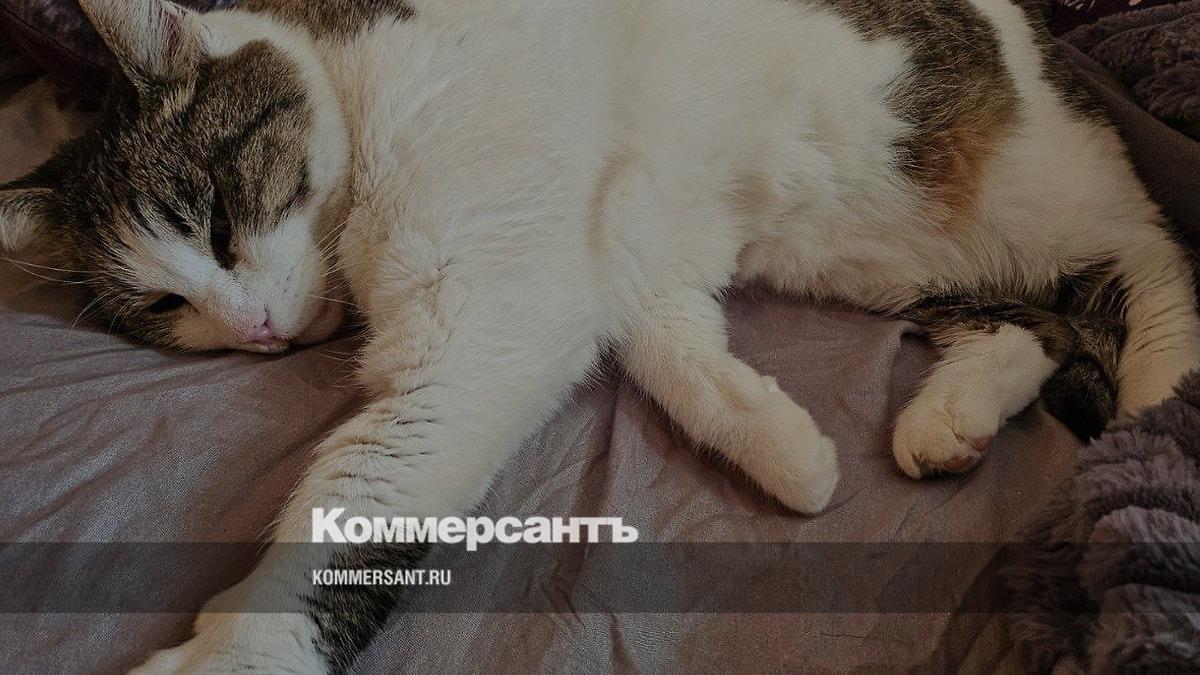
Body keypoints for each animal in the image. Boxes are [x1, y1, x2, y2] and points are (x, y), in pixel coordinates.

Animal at [1, 0, 1198, 672]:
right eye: (162, 308)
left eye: (216, 219)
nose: (248, 331)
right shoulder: (608, 261)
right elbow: (672, 348)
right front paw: (784, 448)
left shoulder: (489, 315)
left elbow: (359, 503)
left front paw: (241, 651)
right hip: (892, 255)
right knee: (1031, 323)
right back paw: (949, 418)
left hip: (1039, 199)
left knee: (1150, 271)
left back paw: (1159, 420)